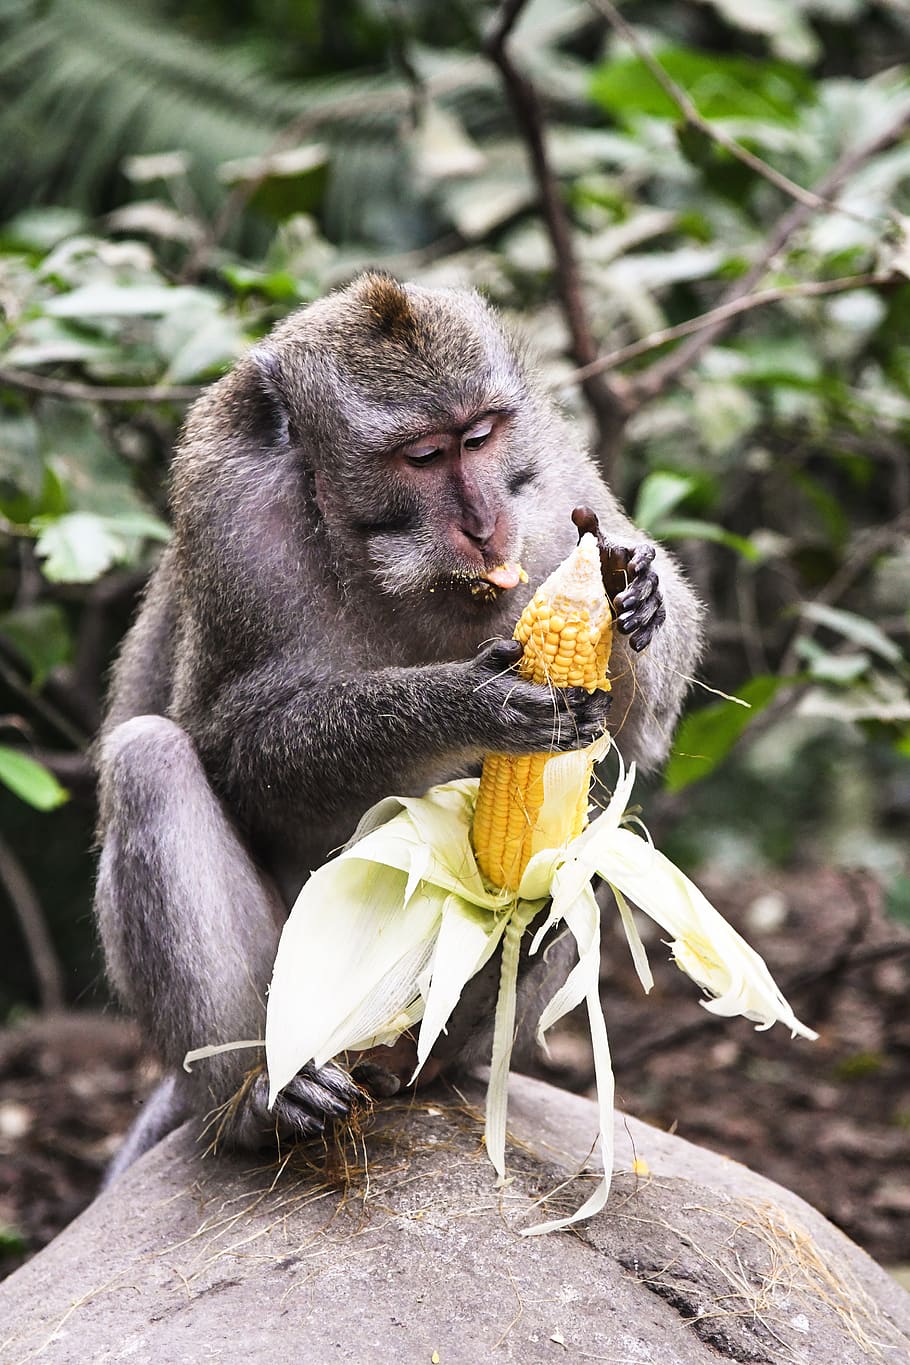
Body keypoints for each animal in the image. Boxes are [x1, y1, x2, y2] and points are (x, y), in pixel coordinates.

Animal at [95, 273, 702, 1179]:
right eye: (423, 456)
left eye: (479, 437)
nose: (484, 522)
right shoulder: (231, 511)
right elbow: (233, 747)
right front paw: (464, 702)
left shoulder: (551, 480)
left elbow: (636, 739)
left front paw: (636, 590)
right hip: (306, 996)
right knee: (149, 759)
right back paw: (257, 1099)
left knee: (593, 832)